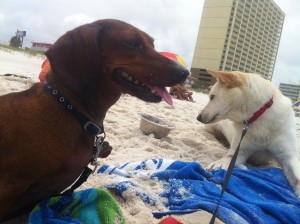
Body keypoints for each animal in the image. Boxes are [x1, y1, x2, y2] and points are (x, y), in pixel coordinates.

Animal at [197, 69, 300, 197]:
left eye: (212, 97)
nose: (198, 117)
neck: (257, 117)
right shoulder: (241, 150)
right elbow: (229, 158)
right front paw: (219, 163)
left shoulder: (288, 155)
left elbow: (297, 177)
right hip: (211, 127)